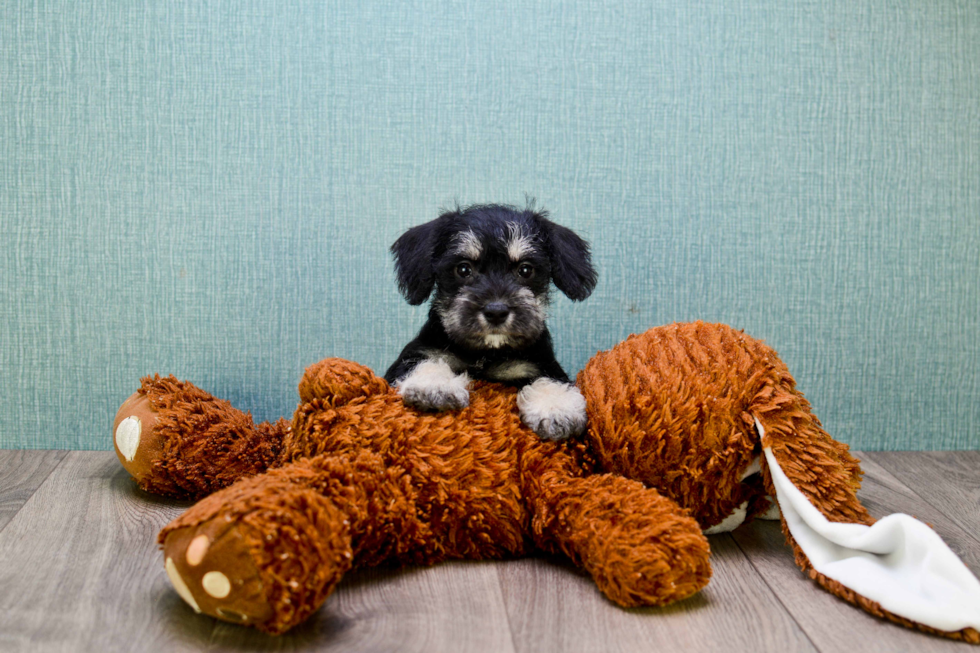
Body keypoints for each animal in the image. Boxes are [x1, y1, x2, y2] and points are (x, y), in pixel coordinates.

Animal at [382, 201, 596, 440]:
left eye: (526, 269)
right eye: (463, 269)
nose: (496, 311)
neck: (485, 353)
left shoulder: (540, 364)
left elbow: (549, 379)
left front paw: (557, 408)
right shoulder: (415, 355)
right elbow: (425, 362)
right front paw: (434, 387)